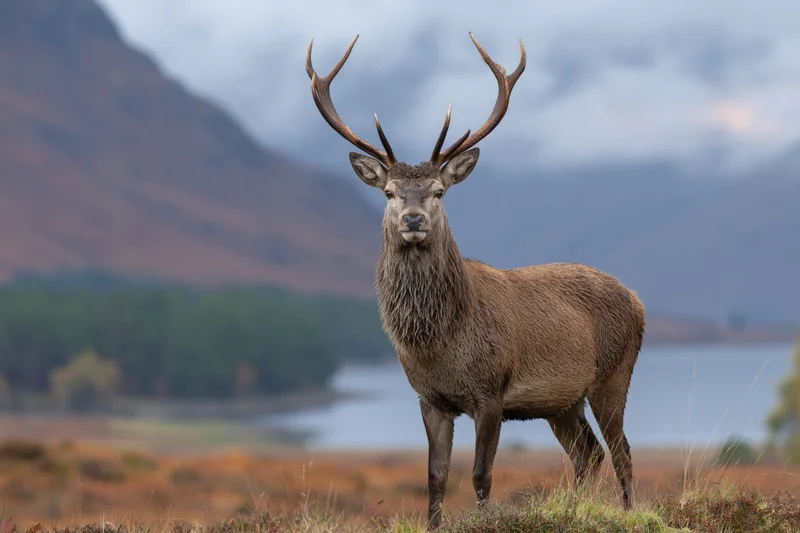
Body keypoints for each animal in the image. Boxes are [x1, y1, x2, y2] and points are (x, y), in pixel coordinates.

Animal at [306, 33, 646, 530]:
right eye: (388, 193)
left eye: (439, 192)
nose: (413, 219)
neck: (440, 343)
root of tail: (639, 301)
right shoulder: (429, 399)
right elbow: (436, 476)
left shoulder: (492, 393)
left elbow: (482, 475)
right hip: (563, 401)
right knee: (588, 453)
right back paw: (573, 507)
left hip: (613, 376)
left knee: (621, 452)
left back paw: (629, 512)